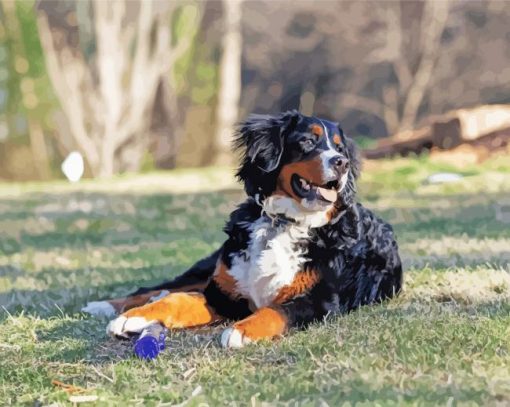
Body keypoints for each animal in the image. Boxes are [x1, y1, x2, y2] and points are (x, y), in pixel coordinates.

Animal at [82, 111, 402, 348]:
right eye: (308, 141)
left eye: (339, 147)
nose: (342, 163)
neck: (282, 223)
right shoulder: (223, 295)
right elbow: (179, 299)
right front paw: (133, 317)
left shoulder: (320, 301)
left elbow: (276, 310)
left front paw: (242, 331)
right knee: (160, 288)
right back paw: (105, 305)